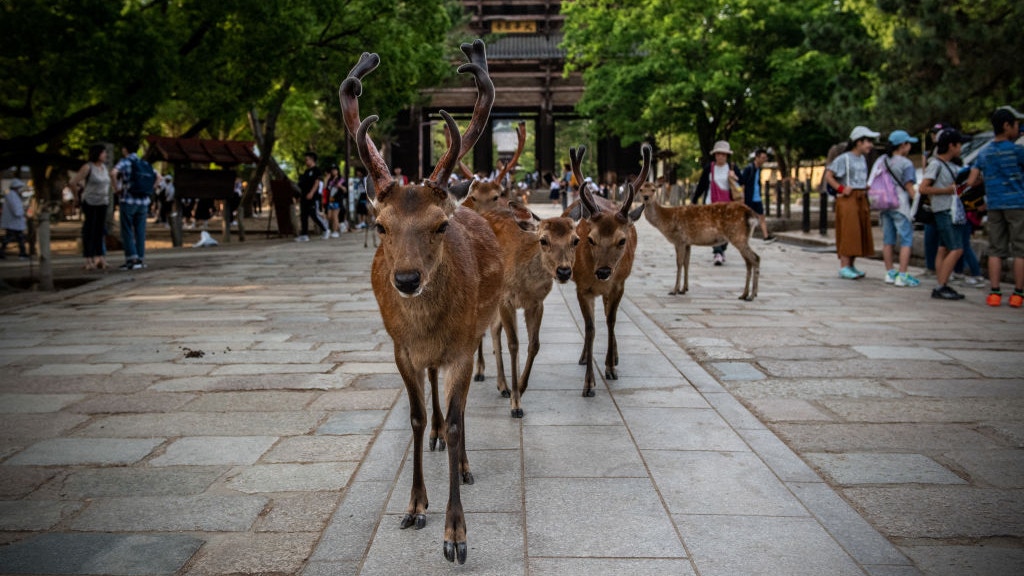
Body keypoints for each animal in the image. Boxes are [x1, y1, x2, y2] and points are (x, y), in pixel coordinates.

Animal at [337, 41, 501, 565]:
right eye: (381, 225)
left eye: (439, 225)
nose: (406, 279)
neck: (428, 329)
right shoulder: (401, 350)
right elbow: (415, 416)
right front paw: (413, 508)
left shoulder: (464, 347)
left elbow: (457, 421)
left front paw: (456, 535)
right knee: (433, 403)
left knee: (457, 412)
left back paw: (464, 464)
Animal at [565, 143, 651, 397]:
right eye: (590, 239)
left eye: (622, 240)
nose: (603, 272)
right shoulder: (582, 288)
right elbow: (591, 328)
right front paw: (589, 384)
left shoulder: (618, 285)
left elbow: (611, 321)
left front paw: (611, 367)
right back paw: (585, 357)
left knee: (608, 317)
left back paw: (615, 358)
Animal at [630, 182, 761, 301]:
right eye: (641, 189)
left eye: (653, 189)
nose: (646, 197)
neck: (665, 221)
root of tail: (750, 214)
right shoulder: (688, 243)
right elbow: (686, 263)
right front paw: (684, 289)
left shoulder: (679, 239)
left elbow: (679, 263)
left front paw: (674, 290)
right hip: (742, 238)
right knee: (749, 261)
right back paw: (744, 294)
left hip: (737, 236)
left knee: (755, 258)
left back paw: (751, 296)